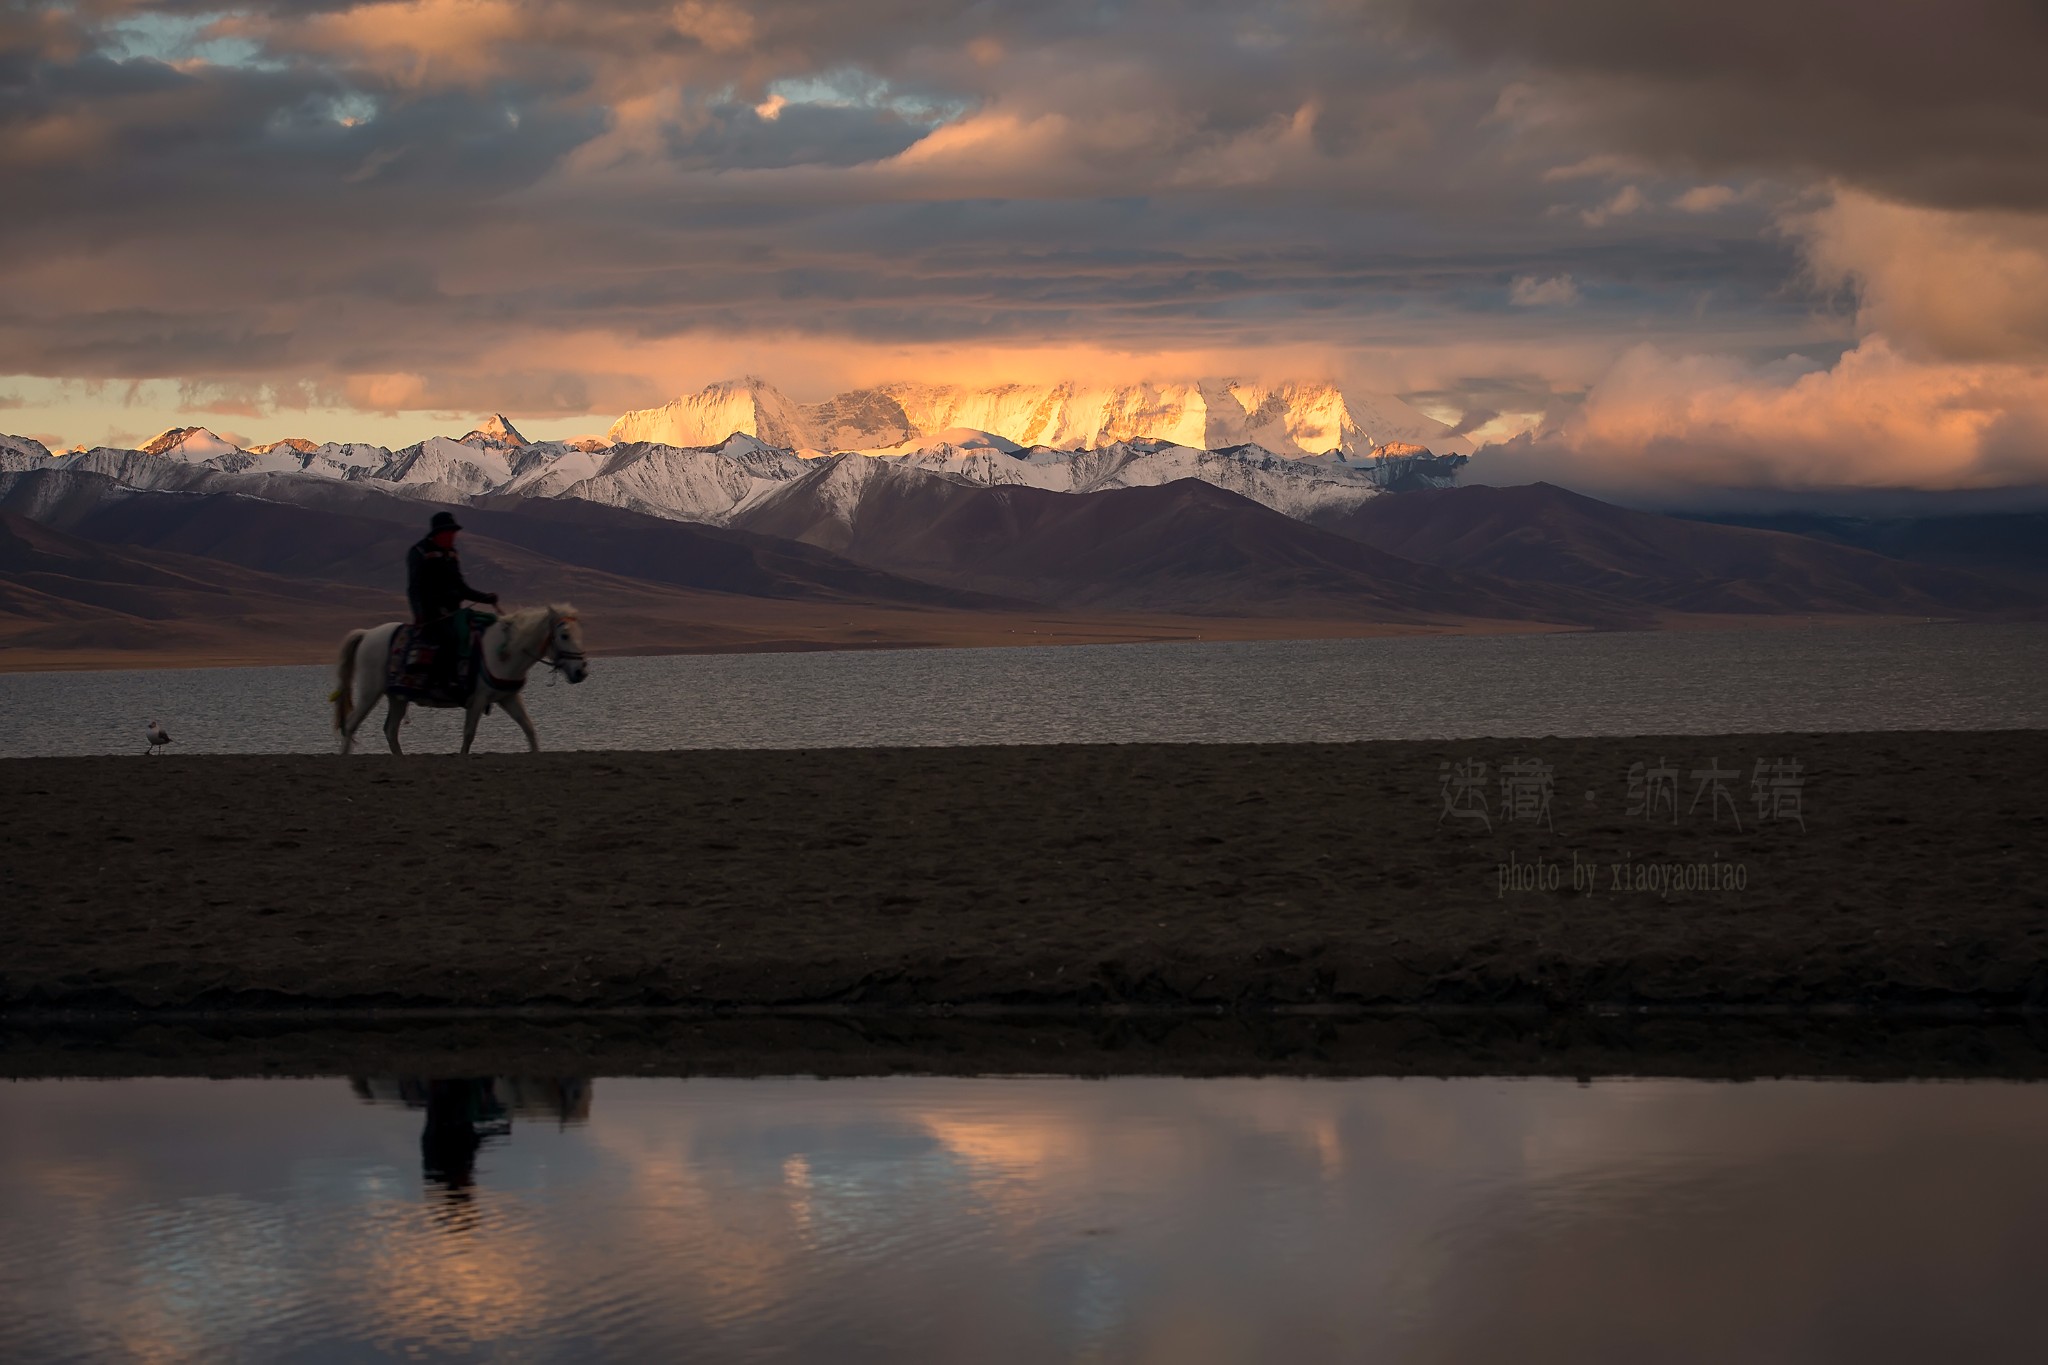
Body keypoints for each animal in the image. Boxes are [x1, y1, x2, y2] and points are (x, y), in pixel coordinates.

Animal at [327, 609, 585, 757]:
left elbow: (529, 728)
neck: (503, 651)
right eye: (564, 635)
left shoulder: (508, 697)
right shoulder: (478, 698)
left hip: (396, 697)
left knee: (390, 730)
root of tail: (367, 634)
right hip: (370, 691)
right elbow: (469, 733)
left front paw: (535, 755)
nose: (581, 671)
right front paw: (462, 757)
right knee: (351, 724)